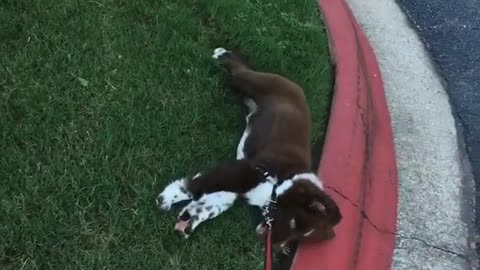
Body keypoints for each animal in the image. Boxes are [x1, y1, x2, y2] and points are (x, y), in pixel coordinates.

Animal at [157, 47, 342, 252]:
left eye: (300, 239)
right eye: (295, 223)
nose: (275, 247)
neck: (281, 184)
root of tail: (295, 85)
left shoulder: (236, 186)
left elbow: (208, 205)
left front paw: (187, 221)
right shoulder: (245, 171)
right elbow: (195, 186)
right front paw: (167, 198)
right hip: (249, 82)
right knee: (239, 70)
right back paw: (222, 54)